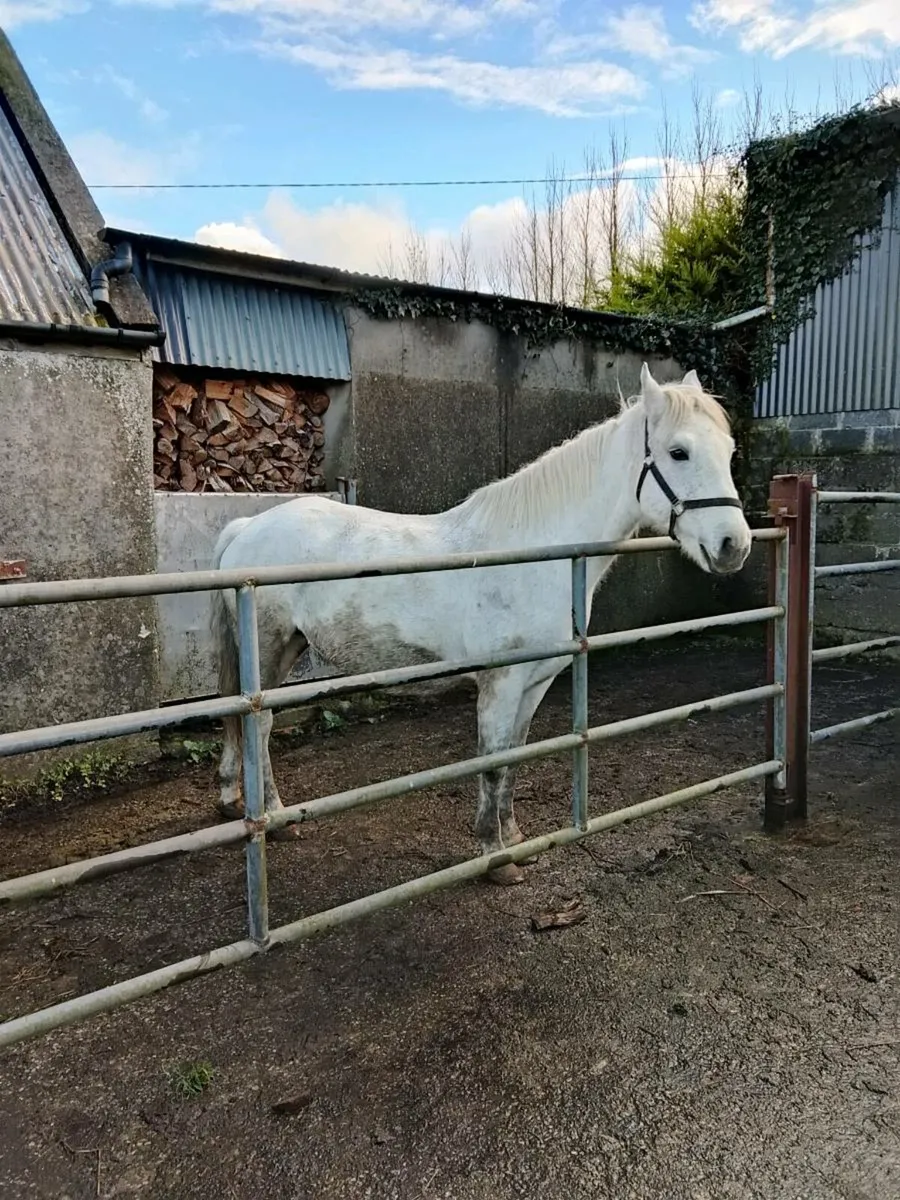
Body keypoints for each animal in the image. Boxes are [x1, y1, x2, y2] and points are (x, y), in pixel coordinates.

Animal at [210, 362, 751, 884]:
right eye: (678, 452)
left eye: (728, 451)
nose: (735, 546)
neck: (533, 551)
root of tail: (247, 527)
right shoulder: (501, 683)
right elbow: (491, 762)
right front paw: (496, 857)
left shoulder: (534, 683)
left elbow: (513, 757)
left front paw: (514, 838)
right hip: (270, 650)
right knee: (260, 727)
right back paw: (278, 818)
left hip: (288, 648)